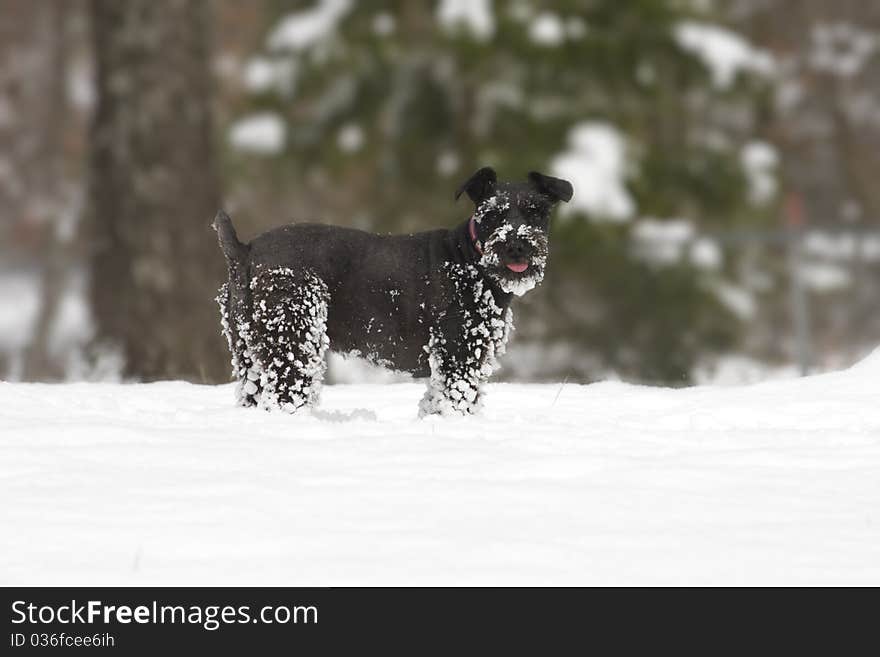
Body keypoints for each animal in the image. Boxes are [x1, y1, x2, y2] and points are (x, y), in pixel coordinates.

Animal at [212, 168, 572, 416]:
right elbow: (456, 402)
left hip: (249, 355)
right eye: (493, 214)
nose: (517, 246)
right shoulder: (459, 358)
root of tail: (245, 251)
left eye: (536, 211)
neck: (470, 258)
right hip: (293, 345)